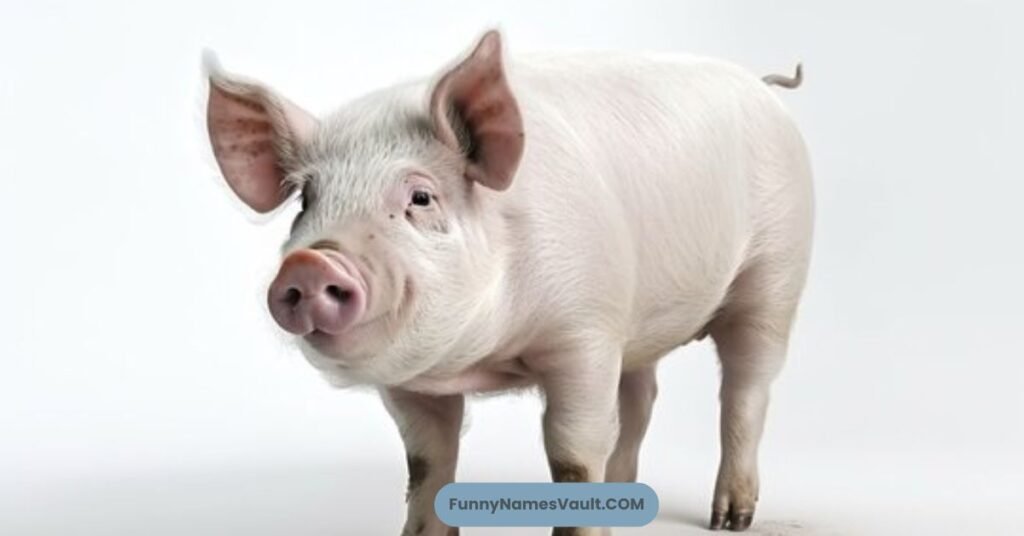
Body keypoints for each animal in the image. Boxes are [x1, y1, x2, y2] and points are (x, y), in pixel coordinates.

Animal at [204, 29, 812, 535]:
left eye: (420, 197)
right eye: (307, 201)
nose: (312, 263)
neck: (480, 357)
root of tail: (761, 86)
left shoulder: (584, 333)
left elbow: (573, 454)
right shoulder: (412, 385)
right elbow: (426, 463)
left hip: (777, 274)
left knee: (746, 388)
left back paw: (730, 519)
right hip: (637, 322)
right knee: (641, 397)